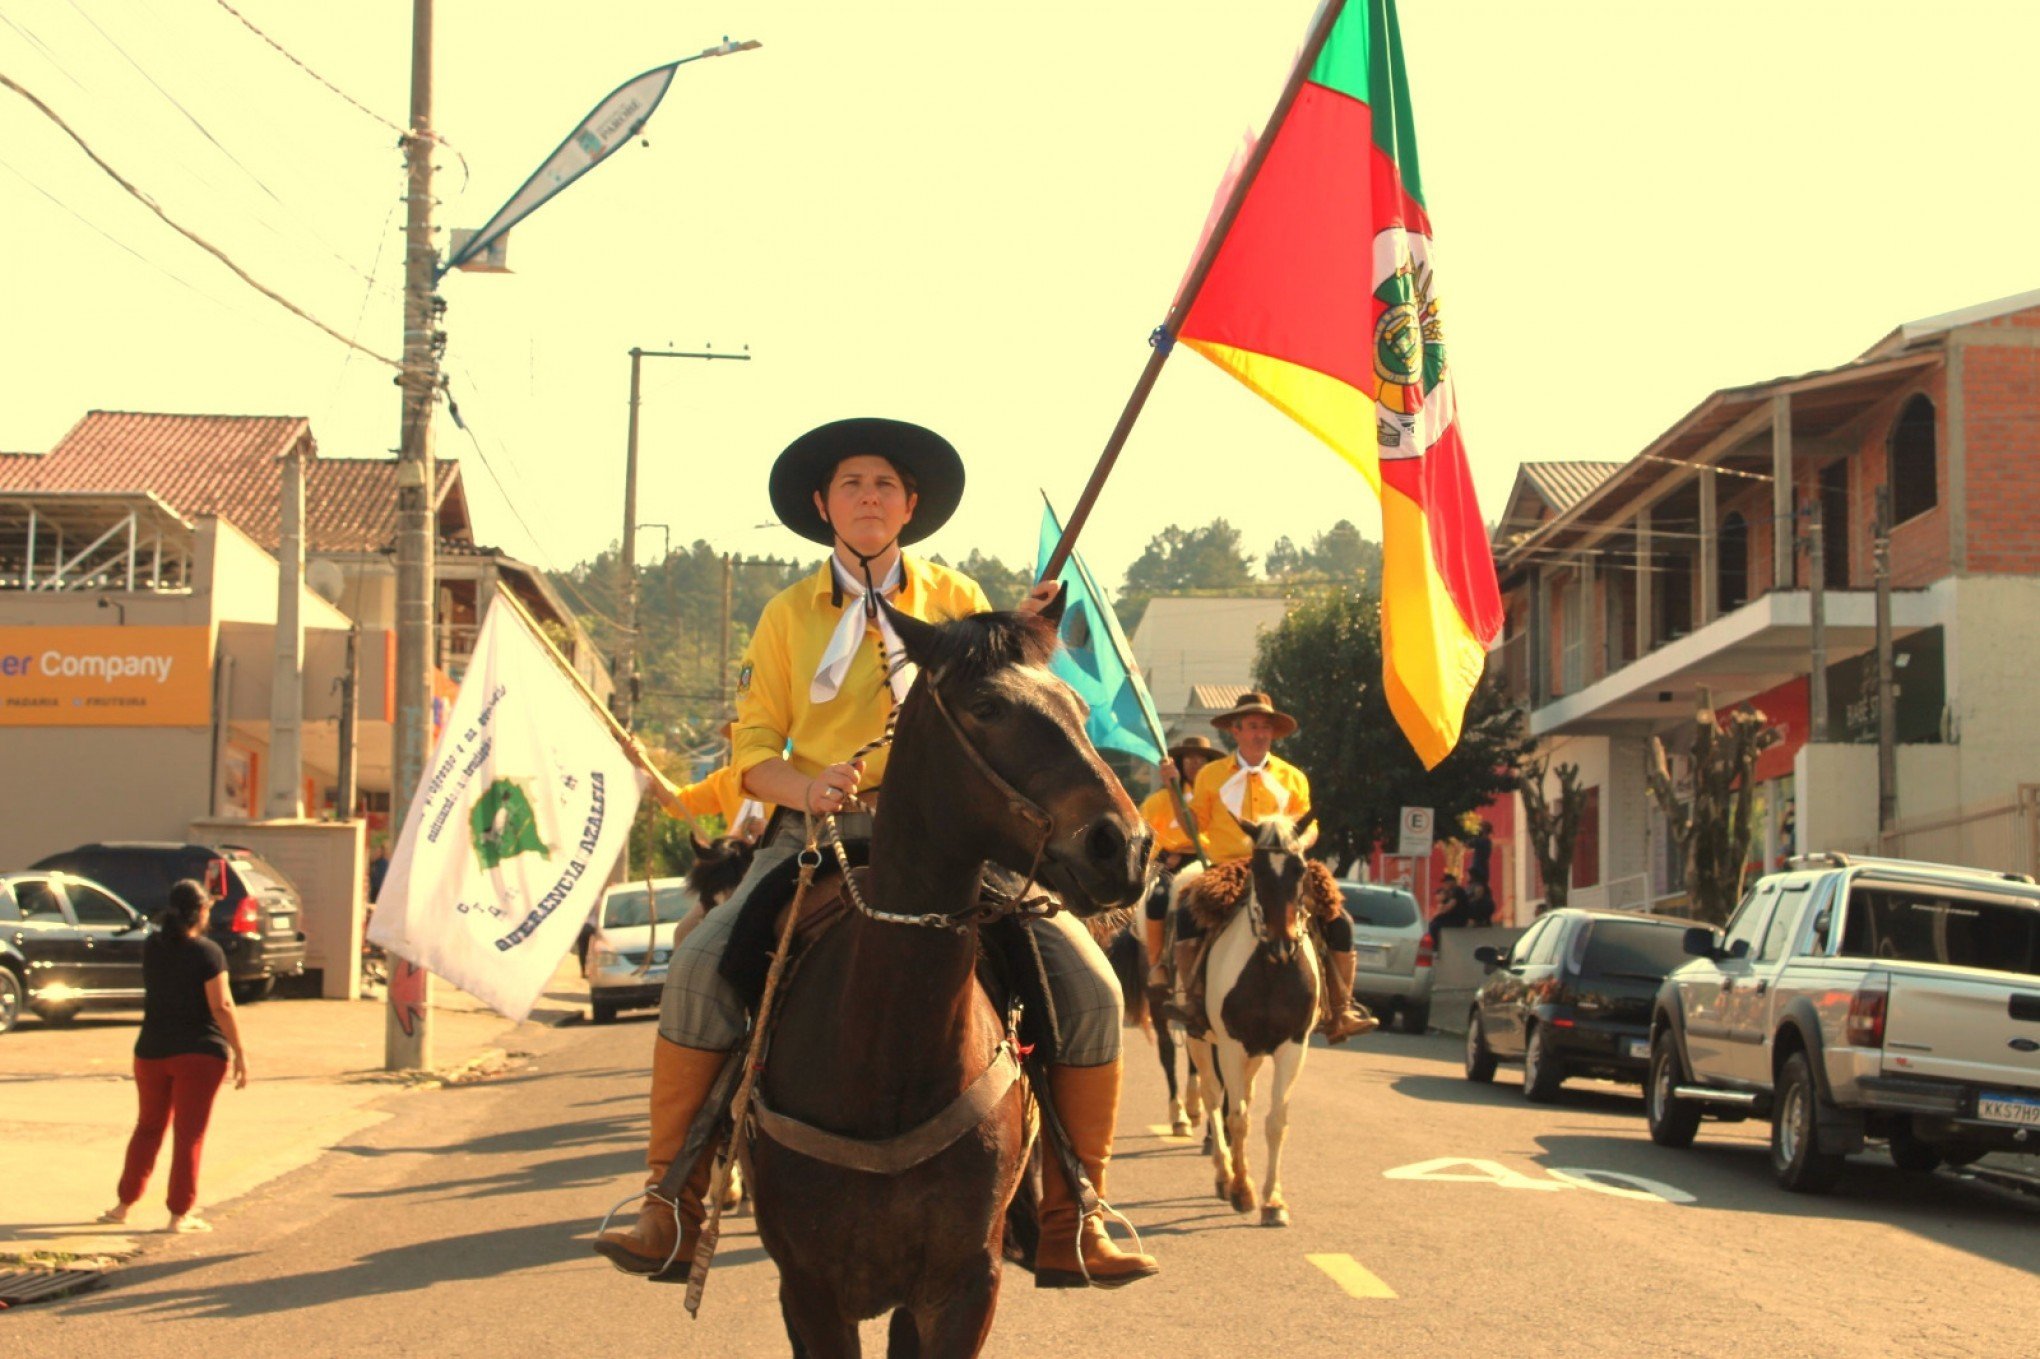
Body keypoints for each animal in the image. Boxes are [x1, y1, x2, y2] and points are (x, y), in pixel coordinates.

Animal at [746, 608, 1150, 1354]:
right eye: (986, 707)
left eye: (1080, 709)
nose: (1124, 847)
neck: (885, 1064)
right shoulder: (810, 1292)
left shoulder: (961, 1286)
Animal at [1183, 816, 1321, 1224]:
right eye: (1257, 870)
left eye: (1300, 869)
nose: (1283, 943)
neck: (1271, 968)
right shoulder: (1231, 1044)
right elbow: (1237, 1116)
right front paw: (1242, 1190)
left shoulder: (1293, 1046)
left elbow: (1275, 1121)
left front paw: (1273, 1200)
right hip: (1201, 1040)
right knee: (1214, 1098)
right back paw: (1223, 1174)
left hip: (1256, 1053)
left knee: (1241, 1093)